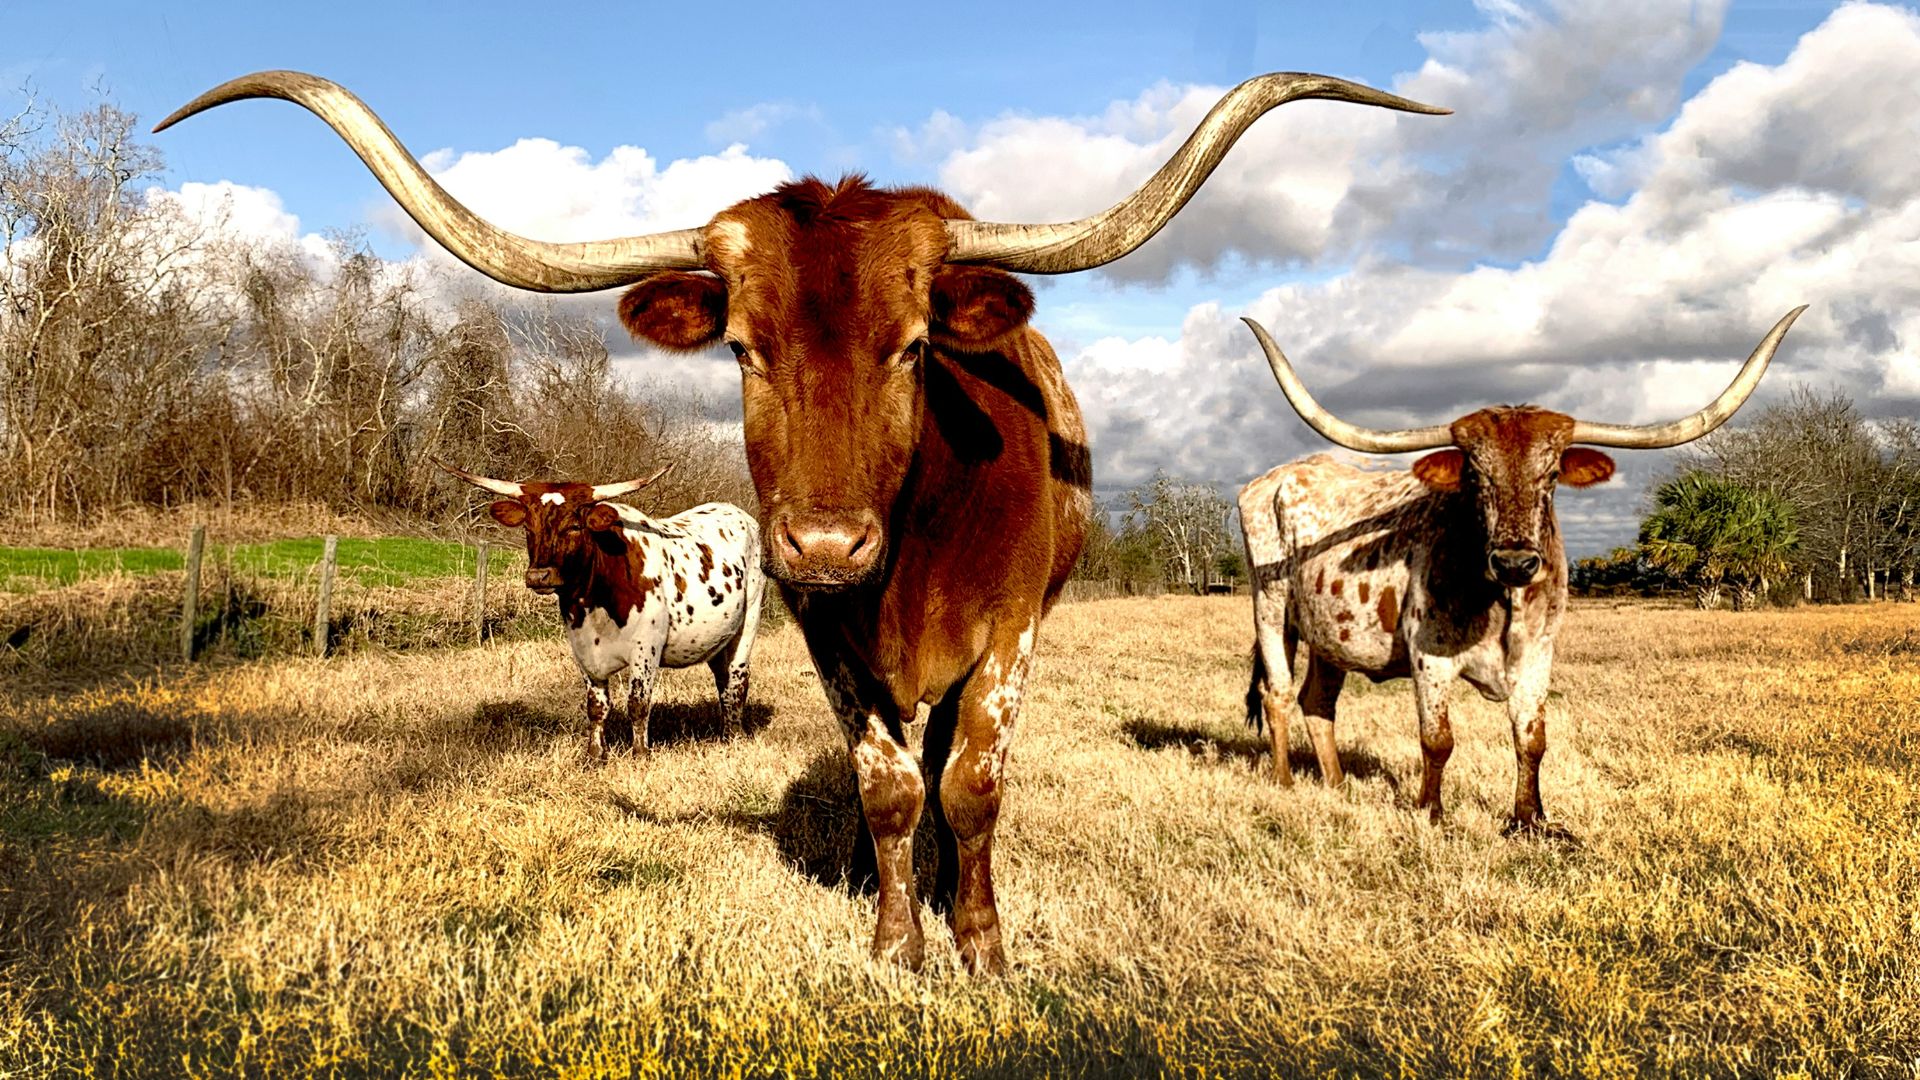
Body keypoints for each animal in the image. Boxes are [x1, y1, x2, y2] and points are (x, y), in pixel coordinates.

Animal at [439, 462, 766, 757]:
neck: (594, 603)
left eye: (574, 526)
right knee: (722, 680)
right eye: (528, 528)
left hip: (748, 621)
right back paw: (725, 734)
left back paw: (735, 738)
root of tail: (737, 513)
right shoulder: (582, 649)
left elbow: (638, 704)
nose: (538, 576)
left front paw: (640, 755)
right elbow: (596, 707)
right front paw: (595, 755)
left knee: (736, 681)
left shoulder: (646, 648)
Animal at [1237, 307, 1805, 835]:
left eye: (1551, 475)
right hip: (1270, 607)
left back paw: (1335, 785)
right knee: (1278, 692)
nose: (1515, 562)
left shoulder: (1538, 655)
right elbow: (1437, 740)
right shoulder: (1428, 657)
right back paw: (1284, 782)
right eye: (1475, 476)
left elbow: (1531, 740)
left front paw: (1529, 819)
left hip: (1329, 636)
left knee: (1317, 701)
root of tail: (1273, 478)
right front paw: (1431, 813)